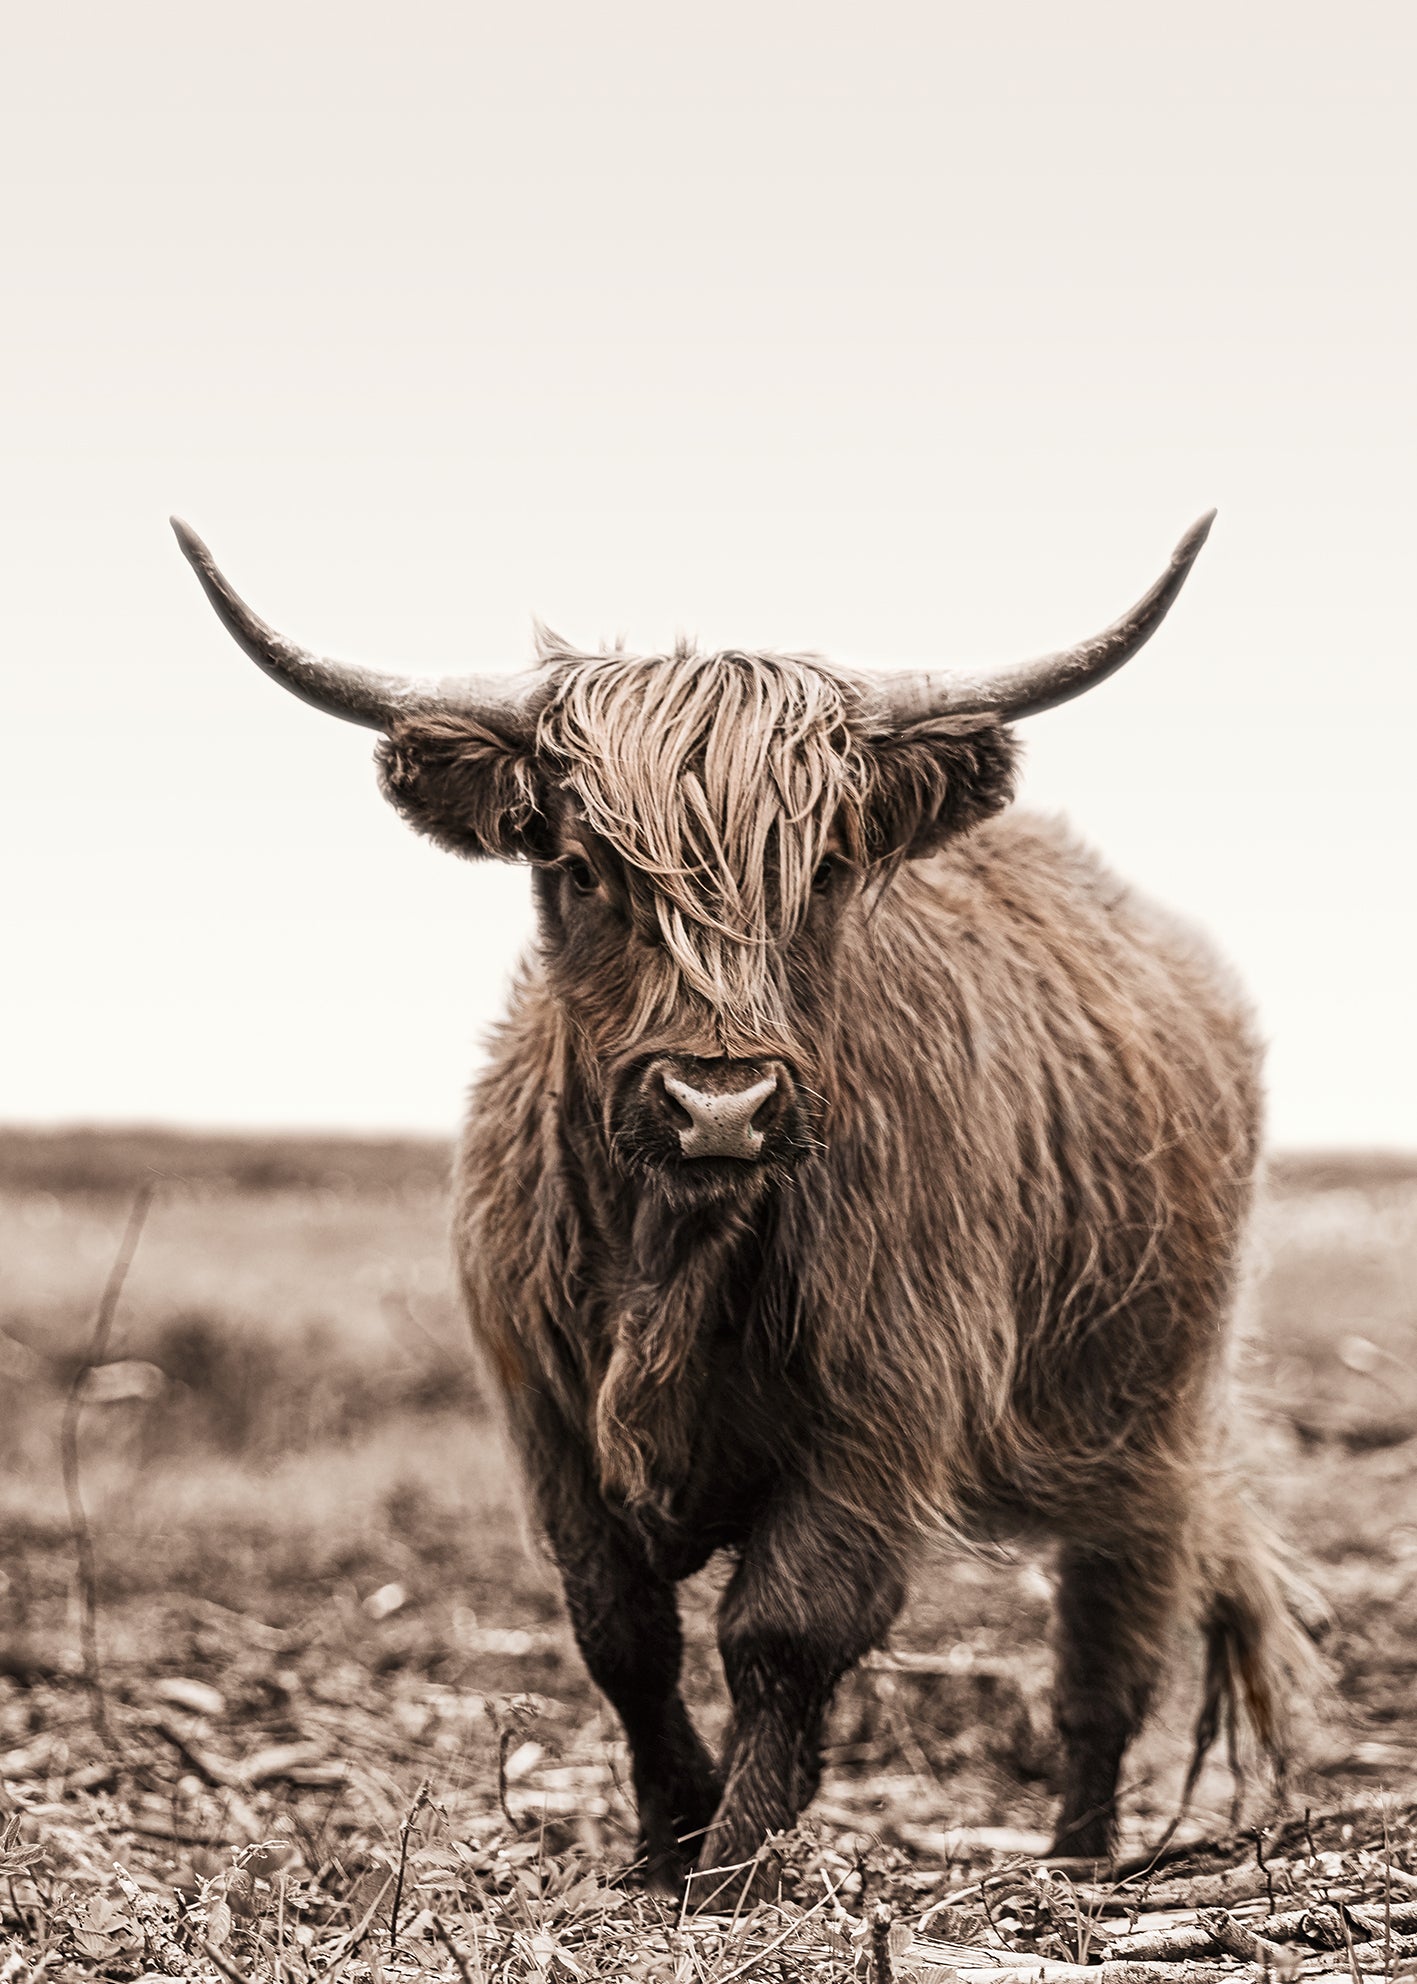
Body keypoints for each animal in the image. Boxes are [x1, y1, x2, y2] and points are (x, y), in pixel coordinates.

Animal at [173, 512, 1313, 1891]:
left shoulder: (880, 1410)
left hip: (1149, 1413)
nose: (719, 1102)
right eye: (580, 866)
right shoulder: (544, 1416)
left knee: (1108, 1657)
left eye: (821, 869)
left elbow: (782, 1632)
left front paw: (731, 1870)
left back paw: (1078, 1862)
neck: (672, 1248)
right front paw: (664, 1842)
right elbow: (620, 1633)